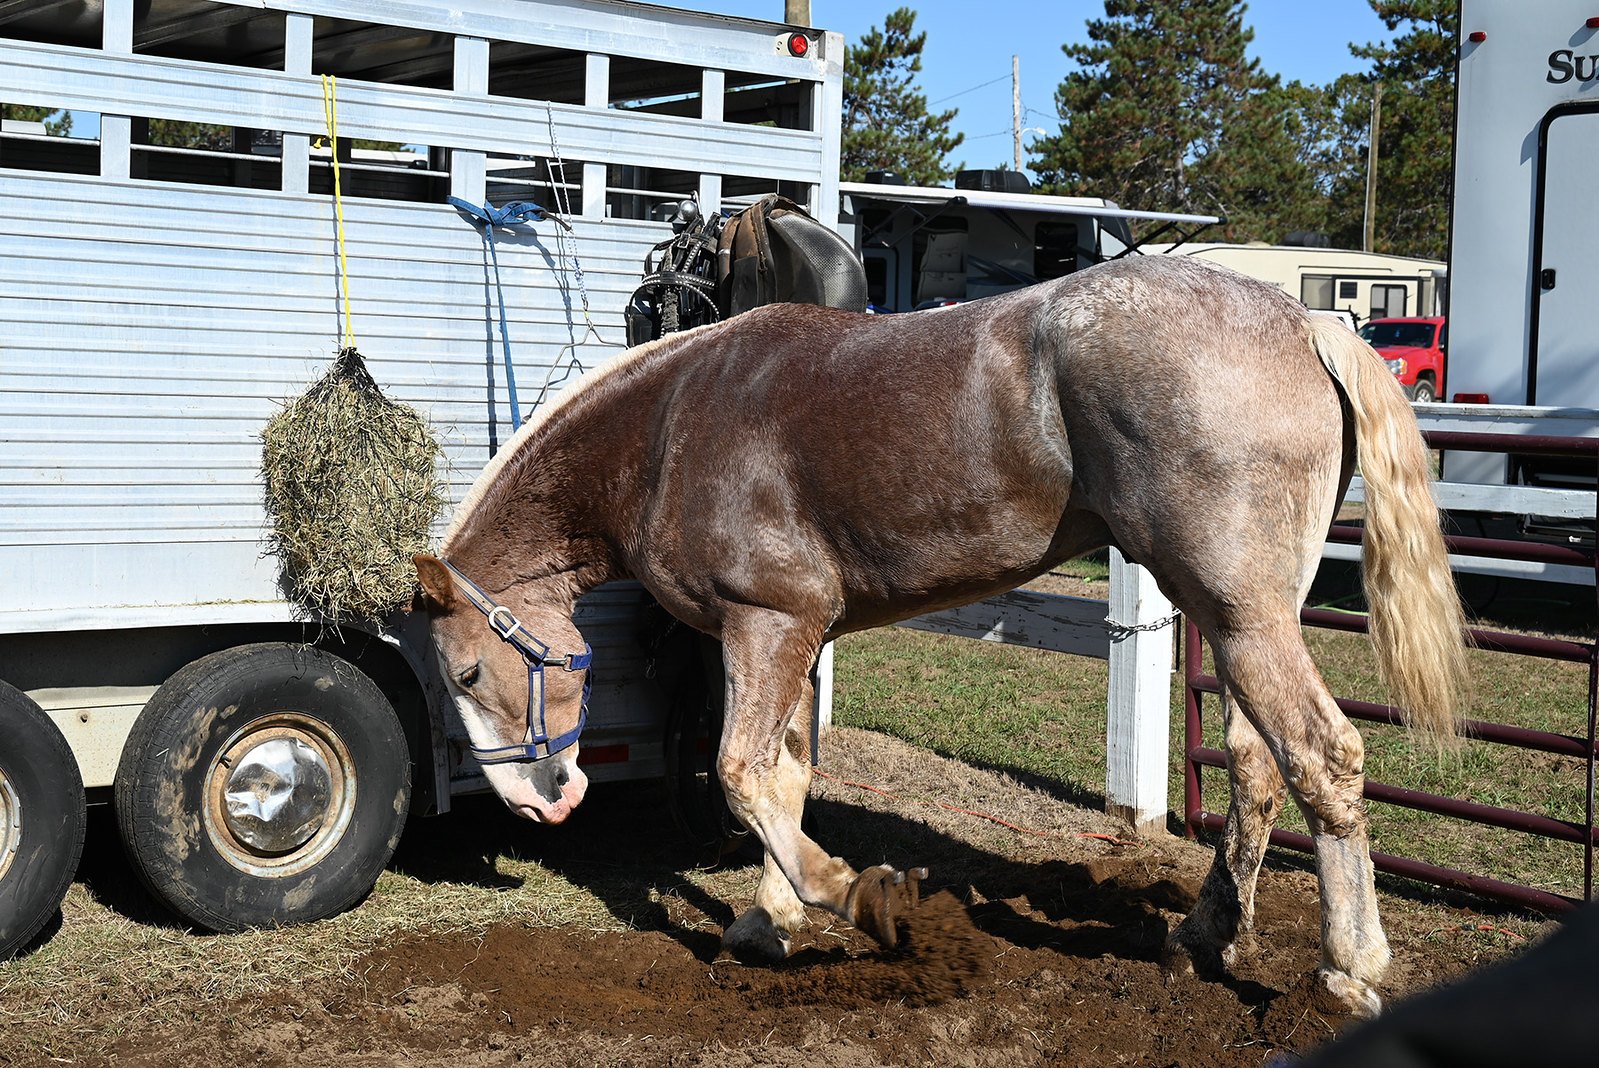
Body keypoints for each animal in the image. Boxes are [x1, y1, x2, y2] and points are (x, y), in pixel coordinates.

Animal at [413, 254, 1467, 1017]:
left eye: (464, 674)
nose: (538, 802)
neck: (665, 427)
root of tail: (1303, 322)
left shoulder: (767, 623)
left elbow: (744, 772)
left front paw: (848, 894)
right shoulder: (798, 634)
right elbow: (785, 773)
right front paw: (768, 921)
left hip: (1235, 610)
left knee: (1322, 756)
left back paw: (1348, 969)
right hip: (1245, 618)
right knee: (1258, 763)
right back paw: (1204, 936)